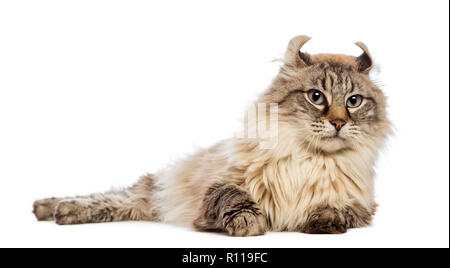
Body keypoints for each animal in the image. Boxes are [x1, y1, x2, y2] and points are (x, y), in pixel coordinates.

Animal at [32, 36, 390, 237]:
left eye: (354, 101)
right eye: (316, 97)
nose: (339, 123)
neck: (309, 160)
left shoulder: (364, 206)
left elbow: (338, 209)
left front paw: (323, 220)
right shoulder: (218, 187)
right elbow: (232, 196)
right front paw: (248, 222)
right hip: (154, 188)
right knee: (113, 196)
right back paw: (54, 208)